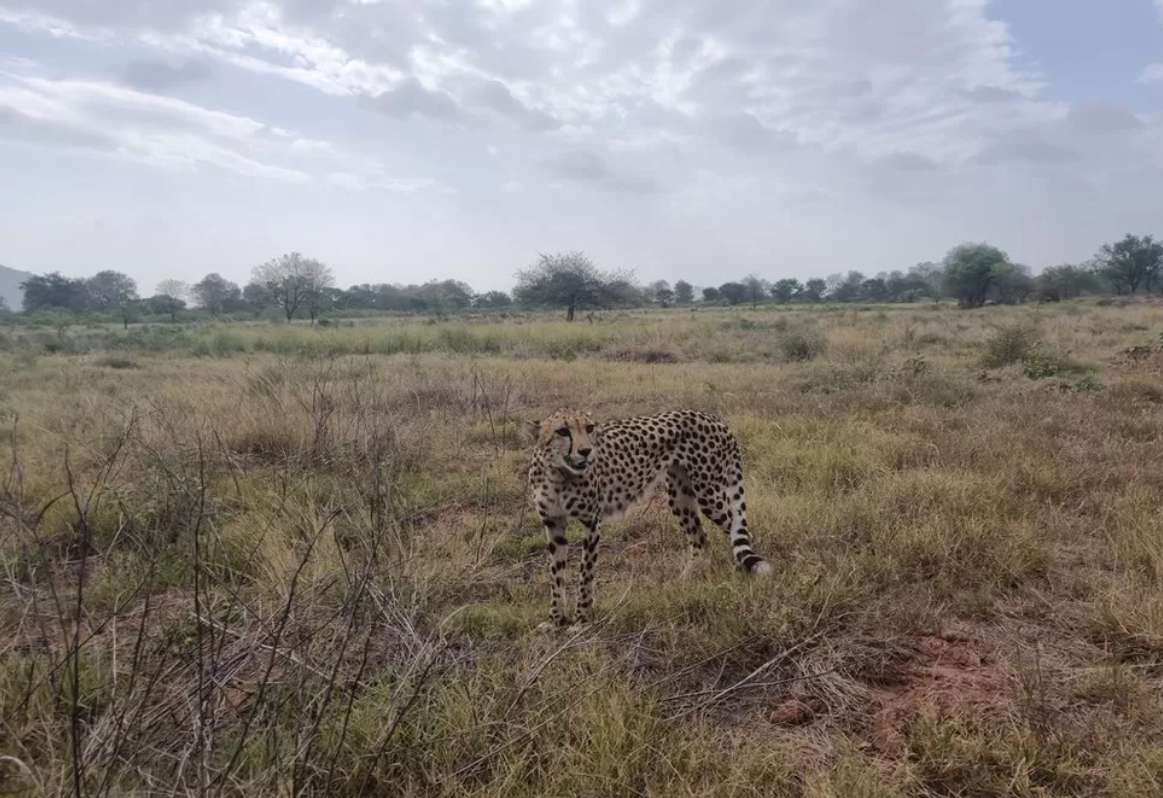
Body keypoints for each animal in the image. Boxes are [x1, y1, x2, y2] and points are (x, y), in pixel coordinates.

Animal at [523, 409, 767, 628]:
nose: (585, 451)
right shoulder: (553, 523)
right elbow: (556, 575)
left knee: (739, 530)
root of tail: (712, 417)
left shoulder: (592, 522)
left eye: (589, 428)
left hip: (709, 495)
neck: (558, 474)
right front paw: (555, 620)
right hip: (679, 496)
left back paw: (739, 574)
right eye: (563, 431)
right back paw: (687, 581)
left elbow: (585, 573)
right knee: (701, 540)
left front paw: (581, 620)